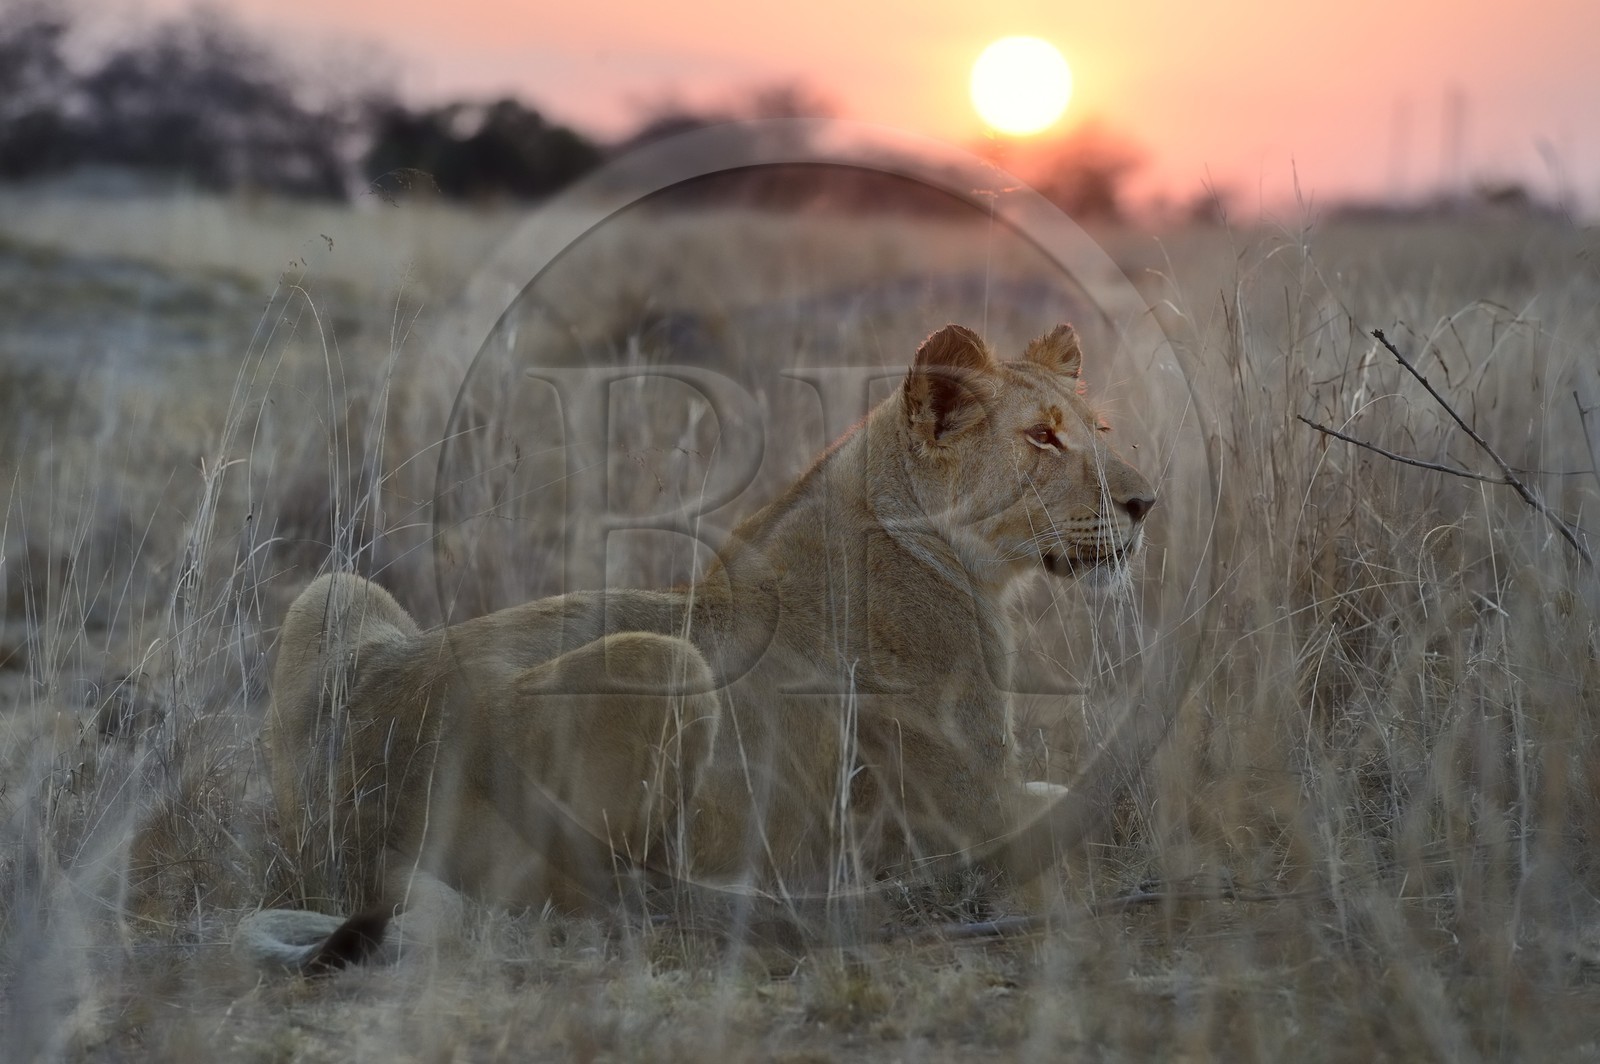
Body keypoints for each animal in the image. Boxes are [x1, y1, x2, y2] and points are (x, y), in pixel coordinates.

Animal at [236, 322, 1155, 971]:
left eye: (1101, 428)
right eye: (1042, 438)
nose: (1148, 501)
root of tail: (353, 825)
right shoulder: (962, 815)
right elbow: (1064, 815)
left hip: (333, 592)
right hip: (659, 664)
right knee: (585, 900)